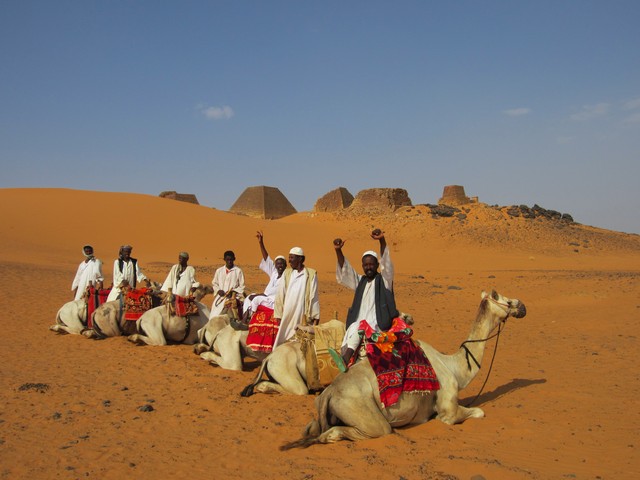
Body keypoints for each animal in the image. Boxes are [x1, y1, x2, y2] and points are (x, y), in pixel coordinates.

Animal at [282, 288, 528, 450]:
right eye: (505, 300)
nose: (522, 305)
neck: (455, 368)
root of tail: (329, 393)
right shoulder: (448, 411)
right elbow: (478, 412)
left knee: (312, 427)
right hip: (366, 415)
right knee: (347, 432)